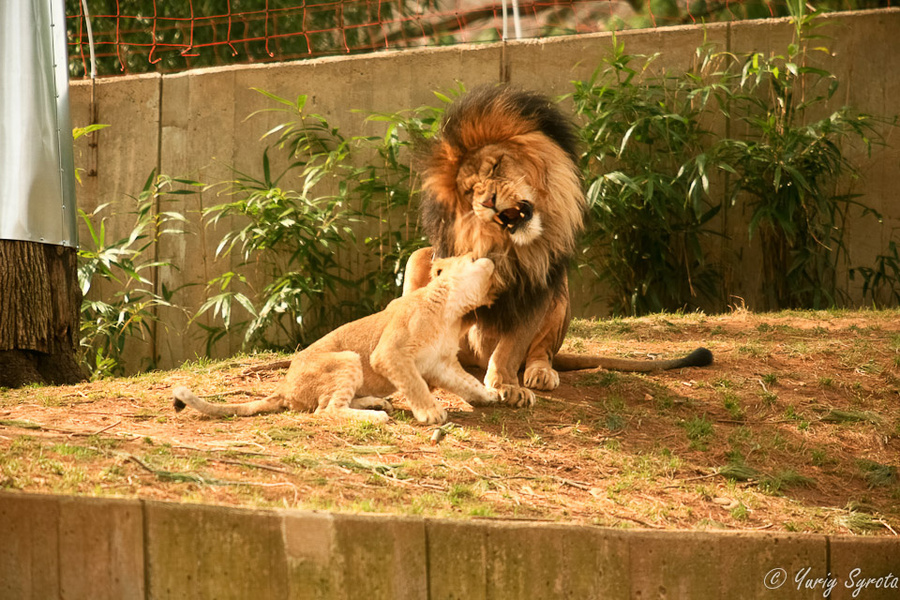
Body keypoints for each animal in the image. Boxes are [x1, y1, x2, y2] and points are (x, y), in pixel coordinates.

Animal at [406, 85, 712, 408]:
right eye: (469, 191)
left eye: (496, 166)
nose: (487, 201)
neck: (513, 250)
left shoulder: (535, 291)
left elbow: (511, 347)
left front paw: (505, 384)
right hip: (418, 258)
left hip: (559, 290)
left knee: (541, 353)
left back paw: (540, 373)